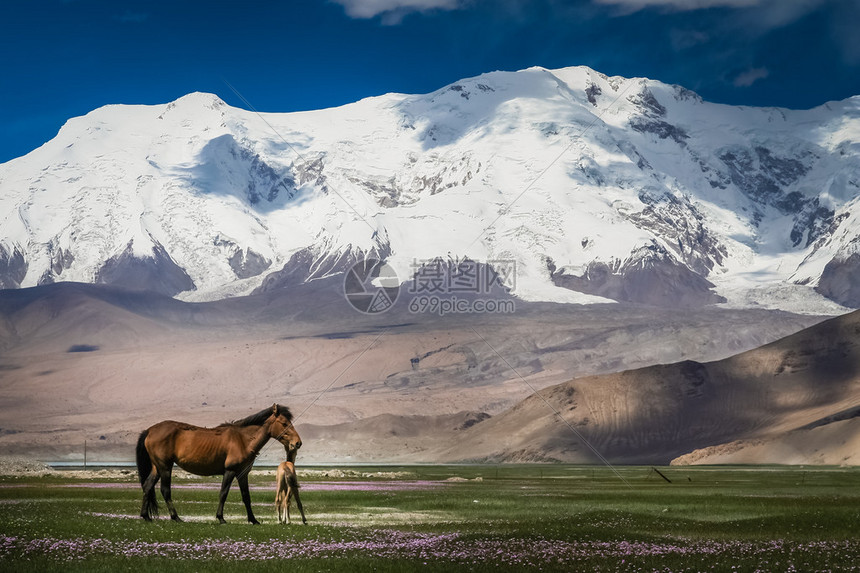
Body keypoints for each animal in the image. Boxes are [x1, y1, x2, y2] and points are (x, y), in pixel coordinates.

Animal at [136, 402, 300, 524]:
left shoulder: (242, 473)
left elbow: (246, 496)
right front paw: (221, 518)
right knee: (165, 490)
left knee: (147, 486)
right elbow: (223, 493)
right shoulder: (230, 471)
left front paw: (253, 520)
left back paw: (146, 516)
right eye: (284, 423)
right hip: (165, 467)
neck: (243, 439)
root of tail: (150, 430)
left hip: (157, 467)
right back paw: (176, 517)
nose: (297, 443)